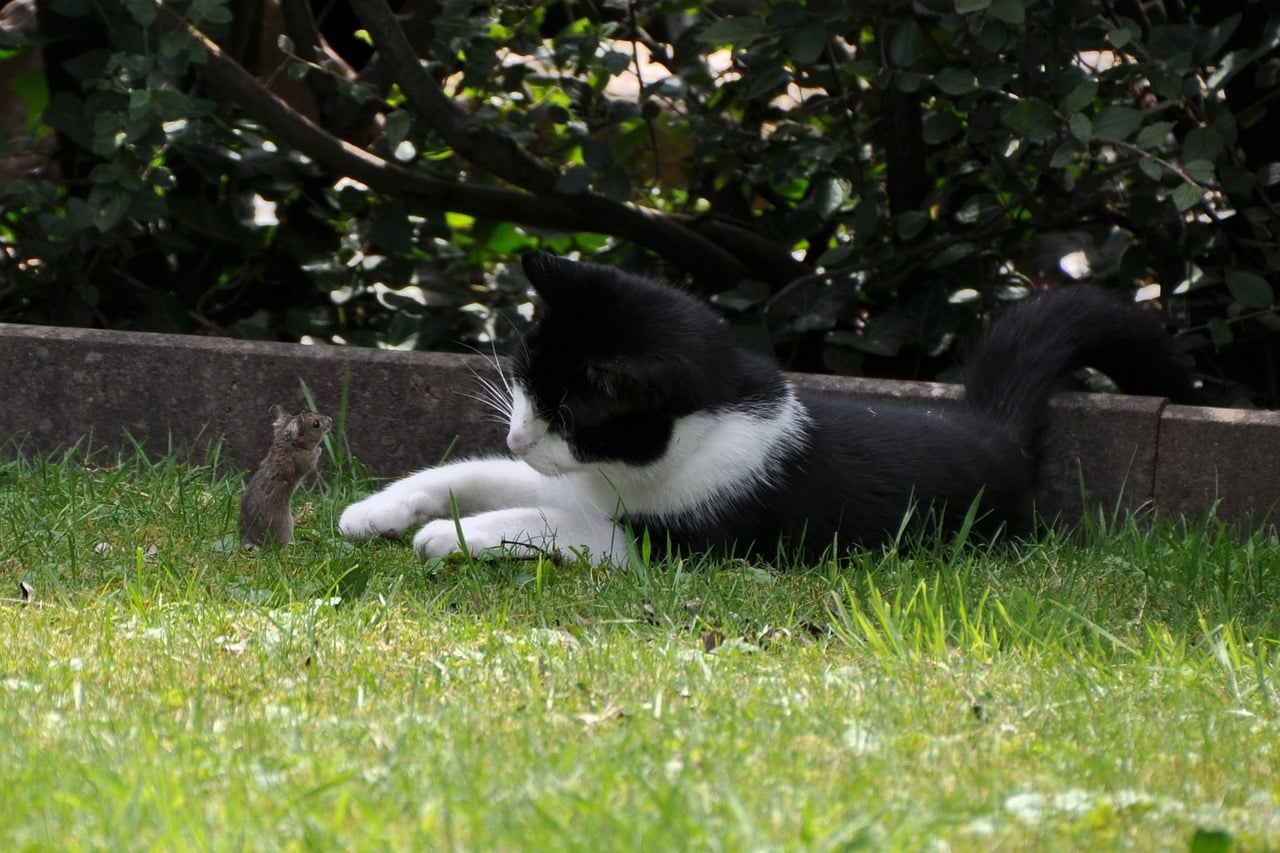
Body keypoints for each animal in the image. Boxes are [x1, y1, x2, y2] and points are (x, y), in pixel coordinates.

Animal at [335, 249, 1192, 560]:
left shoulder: (679, 543)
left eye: (572, 414)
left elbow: (548, 520)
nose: (520, 437)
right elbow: (469, 472)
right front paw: (375, 511)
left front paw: (455, 535)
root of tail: (991, 427)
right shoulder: (575, 480)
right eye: (521, 377)